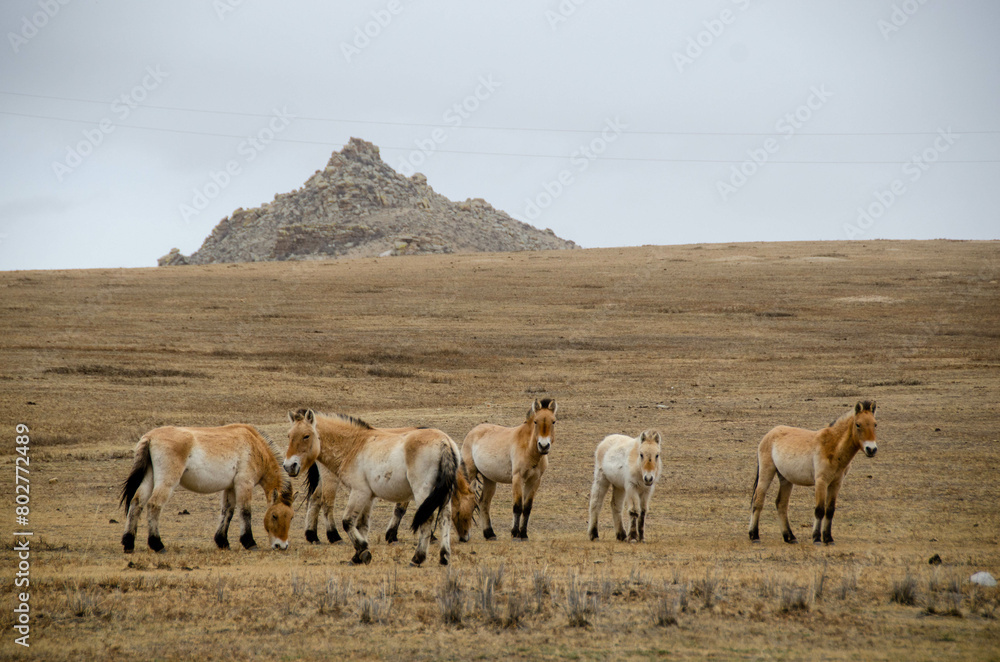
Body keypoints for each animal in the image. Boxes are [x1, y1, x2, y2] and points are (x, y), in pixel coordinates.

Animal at [119, 424, 295, 553]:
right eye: (274, 515)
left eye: (291, 517)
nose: (282, 545)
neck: (255, 446)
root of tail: (150, 437)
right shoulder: (244, 484)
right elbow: (245, 511)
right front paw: (249, 542)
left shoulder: (230, 487)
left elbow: (227, 512)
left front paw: (222, 541)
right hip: (166, 482)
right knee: (153, 505)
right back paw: (157, 545)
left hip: (149, 479)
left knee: (136, 503)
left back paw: (128, 543)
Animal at [283, 409, 459, 566]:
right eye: (289, 435)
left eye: (306, 436)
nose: (289, 466)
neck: (354, 445)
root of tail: (444, 442)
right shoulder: (369, 497)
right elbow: (361, 525)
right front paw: (358, 556)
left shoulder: (359, 492)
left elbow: (347, 521)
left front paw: (362, 550)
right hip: (443, 495)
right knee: (445, 518)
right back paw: (444, 557)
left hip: (422, 492)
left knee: (427, 520)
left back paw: (417, 558)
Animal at [461, 398, 557, 540]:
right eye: (535, 421)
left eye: (553, 421)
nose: (544, 446)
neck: (529, 449)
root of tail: (472, 431)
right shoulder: (517, 478)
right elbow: (517, 506)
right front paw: (515, 534)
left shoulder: (534, 481)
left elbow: (527, 507)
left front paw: (524, 534)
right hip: (470, 473)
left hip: (489, 479)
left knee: (484, 503)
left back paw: (489, 534)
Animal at [749, 400, 879, 545]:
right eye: (858, 424)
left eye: (875, 424)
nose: (871, 449)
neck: (833, 447)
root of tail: (769, 434)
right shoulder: (821, 481)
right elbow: (819, 510)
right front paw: (816, 538)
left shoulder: (836, 483)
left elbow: (830, 510)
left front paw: (828, 538)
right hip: (766, 473)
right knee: (758, 501)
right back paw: (754, 536)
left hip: (785, 479)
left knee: (781, 504)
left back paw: (790, 537)